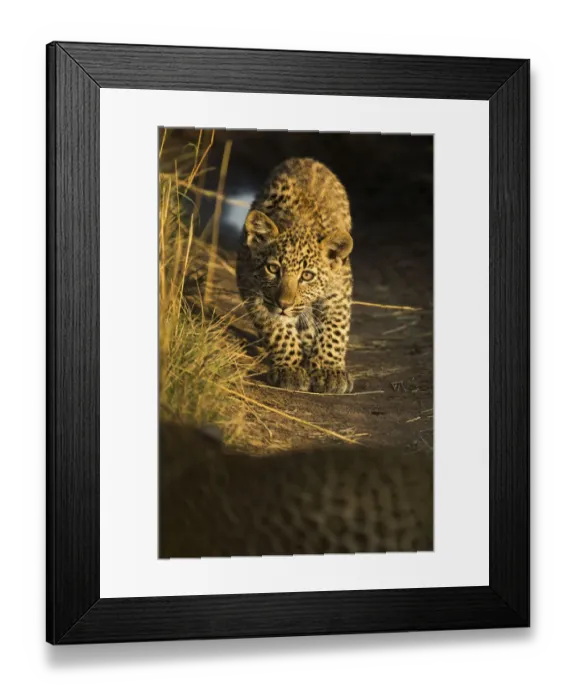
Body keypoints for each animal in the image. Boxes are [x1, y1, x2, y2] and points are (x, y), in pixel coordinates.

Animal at [236, 157, 355, 394]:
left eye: (307, 276)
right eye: (273, 269)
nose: (284, 304)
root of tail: (307, 159)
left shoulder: (340, 288)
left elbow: (335, 328)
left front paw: (329, 371)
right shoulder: (254, 288)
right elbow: (277, 331)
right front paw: (289, 370)